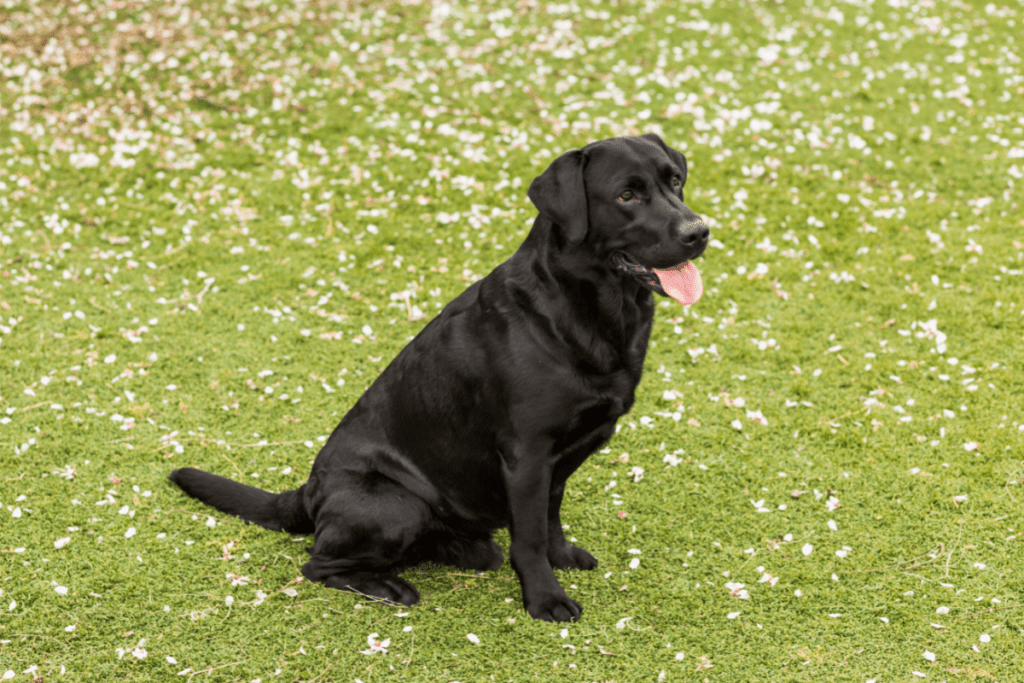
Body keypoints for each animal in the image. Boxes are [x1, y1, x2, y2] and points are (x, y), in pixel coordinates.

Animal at [169, 132, 712, 618]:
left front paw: (562, 559)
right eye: (626, 195)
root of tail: (307, 491)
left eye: (675, 181)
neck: (585, 309)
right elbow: (531, 536)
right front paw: (544, 598)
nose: (699, 232)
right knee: (316, 564)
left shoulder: (560, 458)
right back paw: (389, 587)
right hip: (398, 505)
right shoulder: (527, 454)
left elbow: (550, 517)